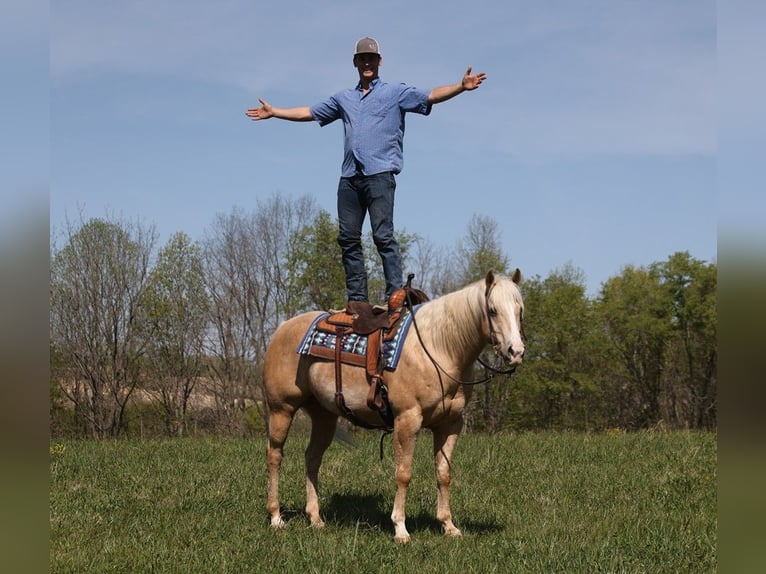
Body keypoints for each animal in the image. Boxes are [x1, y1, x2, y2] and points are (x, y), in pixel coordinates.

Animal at [264, 270, 528, 544]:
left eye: (520, 310)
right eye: (492, 310)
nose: (516, 351)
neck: (439, 348)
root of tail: (282, 328)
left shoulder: (450, 424)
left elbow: (444, 473)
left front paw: (449, 525)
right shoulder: (407, 419)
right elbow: (403, 473)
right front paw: (400, 528)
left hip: (323, 416)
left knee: (312, 458)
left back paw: (315, 518)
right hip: (281, 409)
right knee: (274, 456)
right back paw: (276, 517)